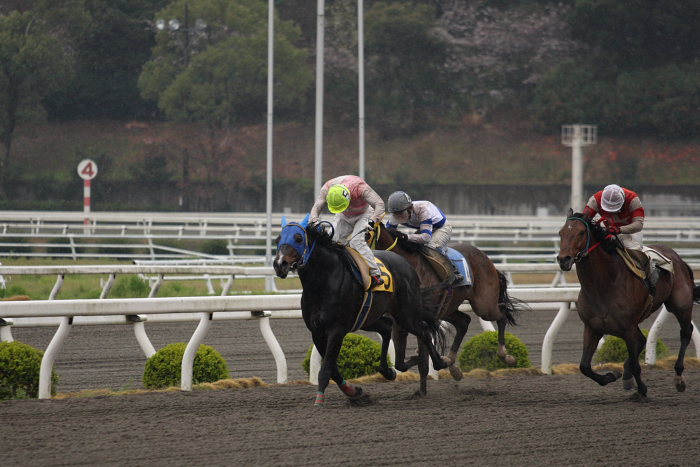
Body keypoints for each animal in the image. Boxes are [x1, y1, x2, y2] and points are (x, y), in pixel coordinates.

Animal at [272, 216, 442, 406]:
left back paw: (439, 362)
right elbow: (332, 369)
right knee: (387, 327)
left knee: (424, 331)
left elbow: (326, 369)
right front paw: (355, 392)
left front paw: (319, 400)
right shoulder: (316, 331)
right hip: (368, 318)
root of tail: (407, 264)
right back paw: (390, 369)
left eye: (298, 238)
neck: (322, 282)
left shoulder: (336, 330)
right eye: (278, 240)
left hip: (406, 313)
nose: (279, 264)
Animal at [370, 221, 528, 382]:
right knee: (464, 321)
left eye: (366, 234)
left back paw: (505, 355)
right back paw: (452, 365)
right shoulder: (402, 317)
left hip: (484, 305)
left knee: (501, 314)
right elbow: (400, 360)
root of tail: (487, 258)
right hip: (448, 308)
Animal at [556, 210, 700, 396]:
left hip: (680, 305)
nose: (563, 259)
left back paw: (679, 377)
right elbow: (584, 366)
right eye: (561, 233)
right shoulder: (592, 327)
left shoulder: (627, 327)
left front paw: (642, 390)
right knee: (642, 342)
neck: (603, 286)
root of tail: (678, 258)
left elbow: (637, 363)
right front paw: (611, 375)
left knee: (685, 332)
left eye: (581, 232)